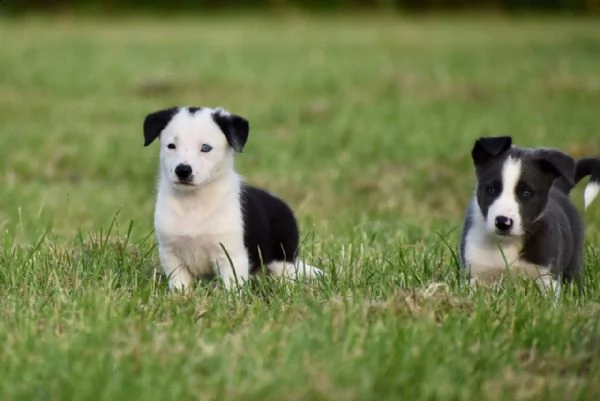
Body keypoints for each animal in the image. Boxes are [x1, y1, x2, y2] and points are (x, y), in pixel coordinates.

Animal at [143, 104, 324, 290]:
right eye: (171, 146)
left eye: (206, 147)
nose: (183, 170)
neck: (193, 203)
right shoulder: (170, 254)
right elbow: (180, 284)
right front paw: (181, 296)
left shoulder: (231, 256)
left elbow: (232, 286)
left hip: (282, 260)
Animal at [460, 135, 600, 294]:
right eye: (491, 189)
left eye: (527, 193)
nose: (503, 222)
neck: (507, 243)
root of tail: (559, 188)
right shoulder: (474, 273)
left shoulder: (547, 276)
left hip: (573, 264)